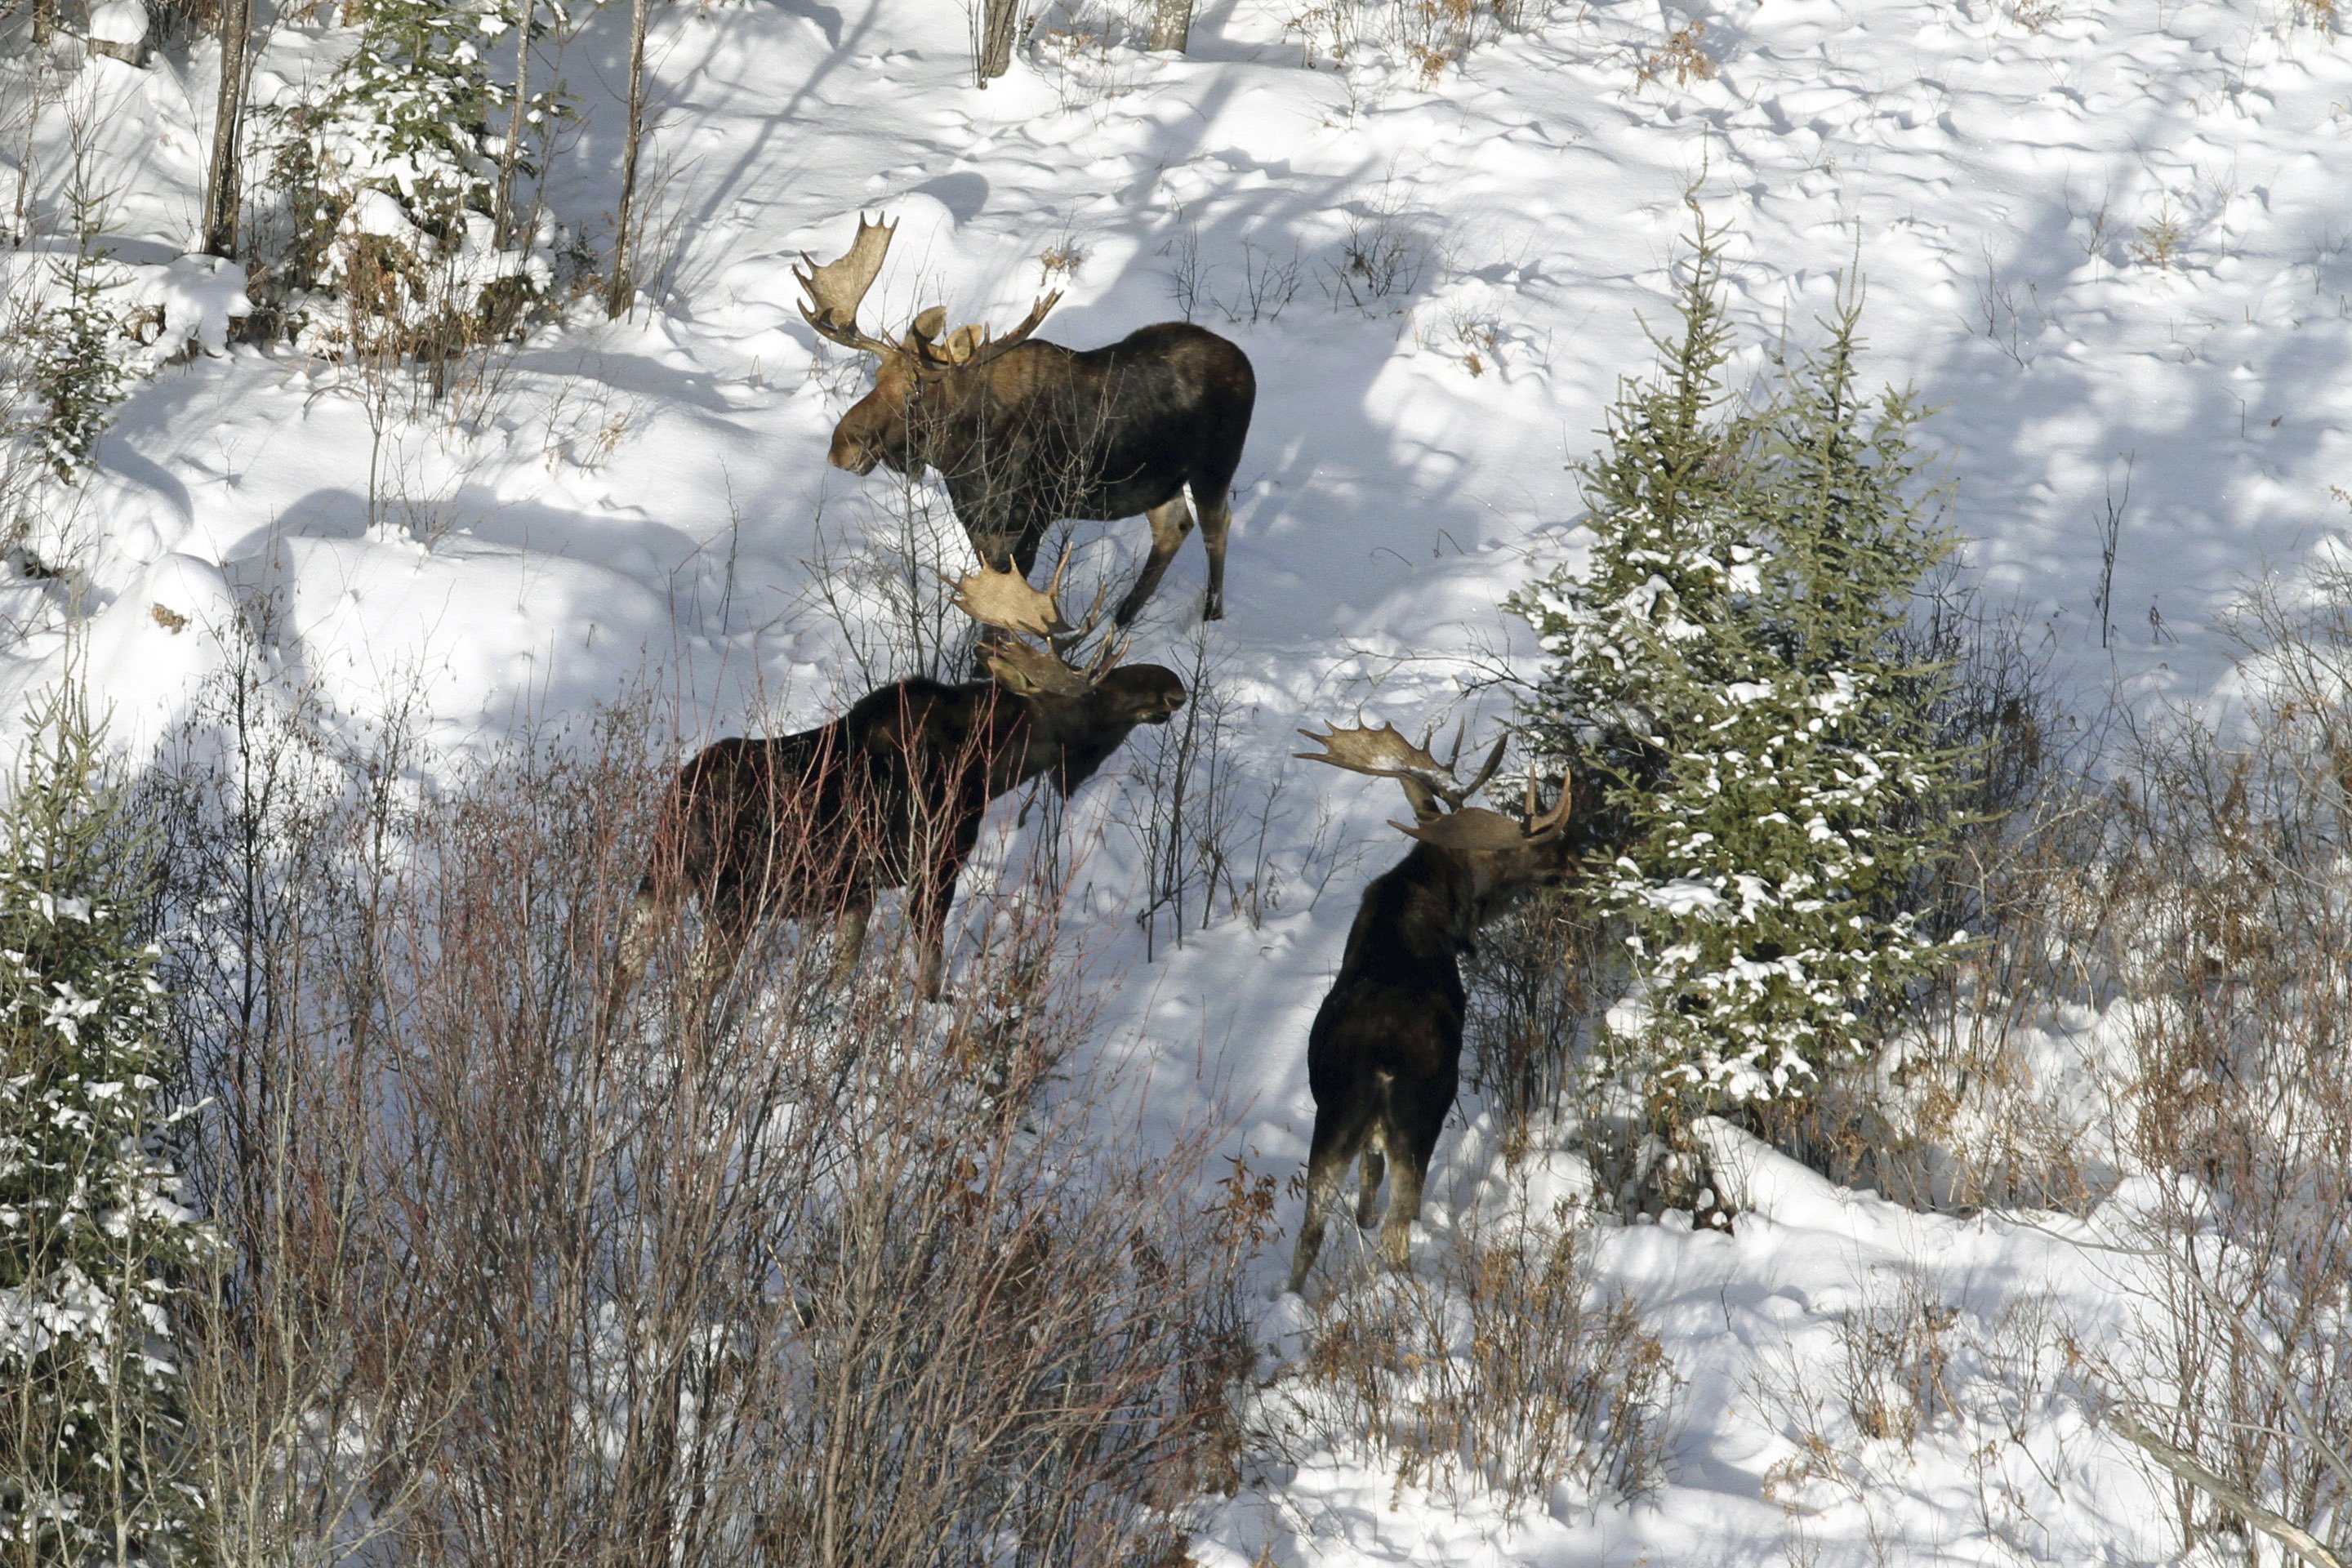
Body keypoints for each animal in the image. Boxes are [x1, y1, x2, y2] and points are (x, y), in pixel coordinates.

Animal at [609, 558, 1185, 1020]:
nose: (1172, 686)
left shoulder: (855, 892)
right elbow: (928, 969)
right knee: (692, 994)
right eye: (1092, 692)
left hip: (658, 878)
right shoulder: (935, 861)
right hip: (734, 898)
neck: (989, 769)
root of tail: (682, 800)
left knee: (623, 972)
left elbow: (840, 971)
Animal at [795, 213, 1256, 627]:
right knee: (1174, 525)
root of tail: (1246, 363)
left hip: (1214, 466)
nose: (840, 449)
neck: (959, 459)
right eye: (876, 378)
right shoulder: (981, 527)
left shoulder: (1025, 524)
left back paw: (1210, 617)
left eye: (914, 392)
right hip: (1157, 480)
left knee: (1216, 527)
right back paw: (1122, 617)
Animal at [1284, 722, 1577, 1295]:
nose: (1567, 864)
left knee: (1310, 1232)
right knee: (1396, 1232)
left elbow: (1366, 1184)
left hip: (1333, 1120)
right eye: (1510, 857)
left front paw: (1362, 1215)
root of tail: (1379, 1069)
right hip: (1418, 1118)